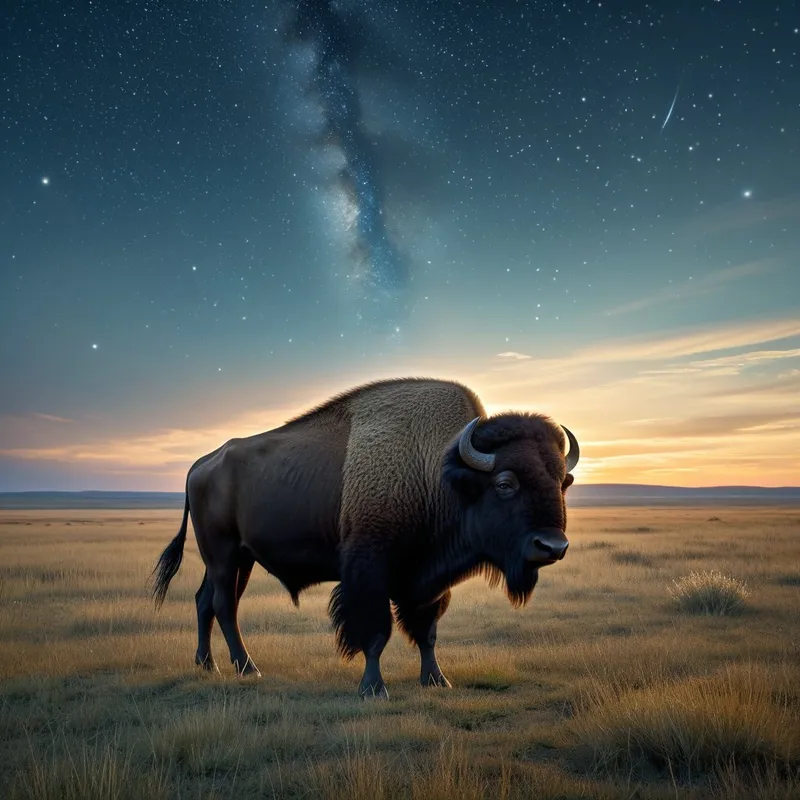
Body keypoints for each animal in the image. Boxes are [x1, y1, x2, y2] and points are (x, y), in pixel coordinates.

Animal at [151, 377, 579, 697]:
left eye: (563, 482)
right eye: (505, 483)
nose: (552, 546)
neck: (438, 473)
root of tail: (202, 464)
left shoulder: (427, 580)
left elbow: (427, 632)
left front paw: (437, 680)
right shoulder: (369, 571)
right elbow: (375, 632)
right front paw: (373, 688)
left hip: (240, 559)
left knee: (206, 601)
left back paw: (208, 665)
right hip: (223, 556)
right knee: (224, 606)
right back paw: (247, 669)